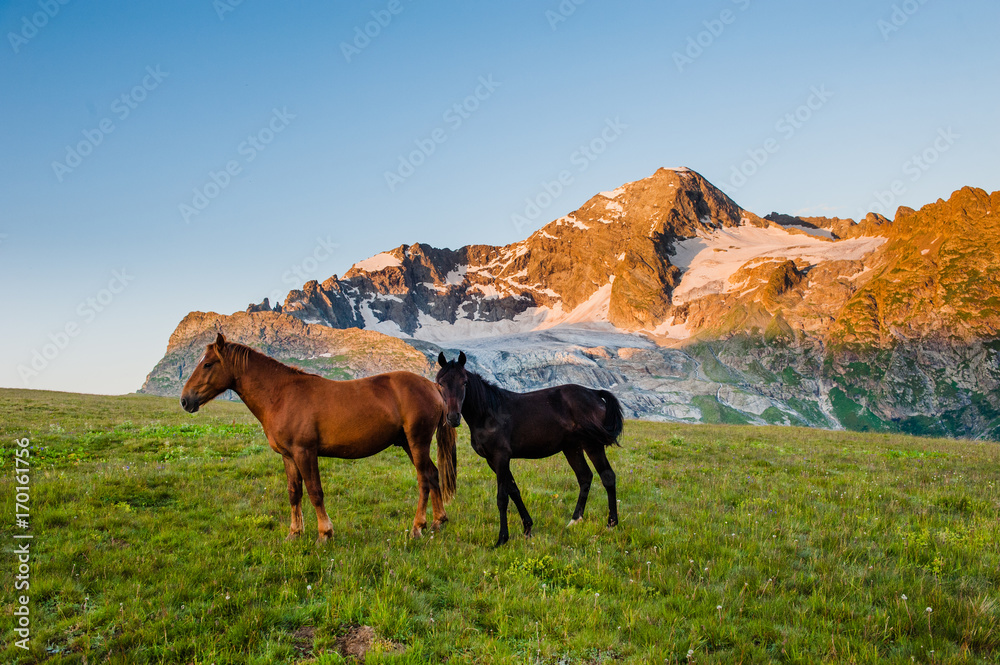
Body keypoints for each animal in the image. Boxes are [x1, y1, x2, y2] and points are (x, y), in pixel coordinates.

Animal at [181, 334, 458, 544]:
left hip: (417, 443)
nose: (185, 400)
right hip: (409, 445)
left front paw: (324, 533)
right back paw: (438, 521)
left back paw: (418, 526)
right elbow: (294, 493)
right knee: (433, 474)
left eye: (208, 364)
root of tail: (433, 387)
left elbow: (315, 492)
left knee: (424, 480)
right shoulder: (289, 456)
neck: (281, 395)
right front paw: (294, 533)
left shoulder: (305, 453)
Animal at [434, 352, 620, 544]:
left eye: (464, 382)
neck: (489, 413)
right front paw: (527, 528)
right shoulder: (492, 461)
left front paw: (502, 538)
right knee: (585, 477)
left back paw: (611, 524)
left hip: (593, 445)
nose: (453, 417)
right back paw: (575, 520)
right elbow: (514, 491)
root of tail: (594, 393)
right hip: (572, 448)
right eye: (440, 383)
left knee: (607, 477)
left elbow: (502, 498)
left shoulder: (501, 457)